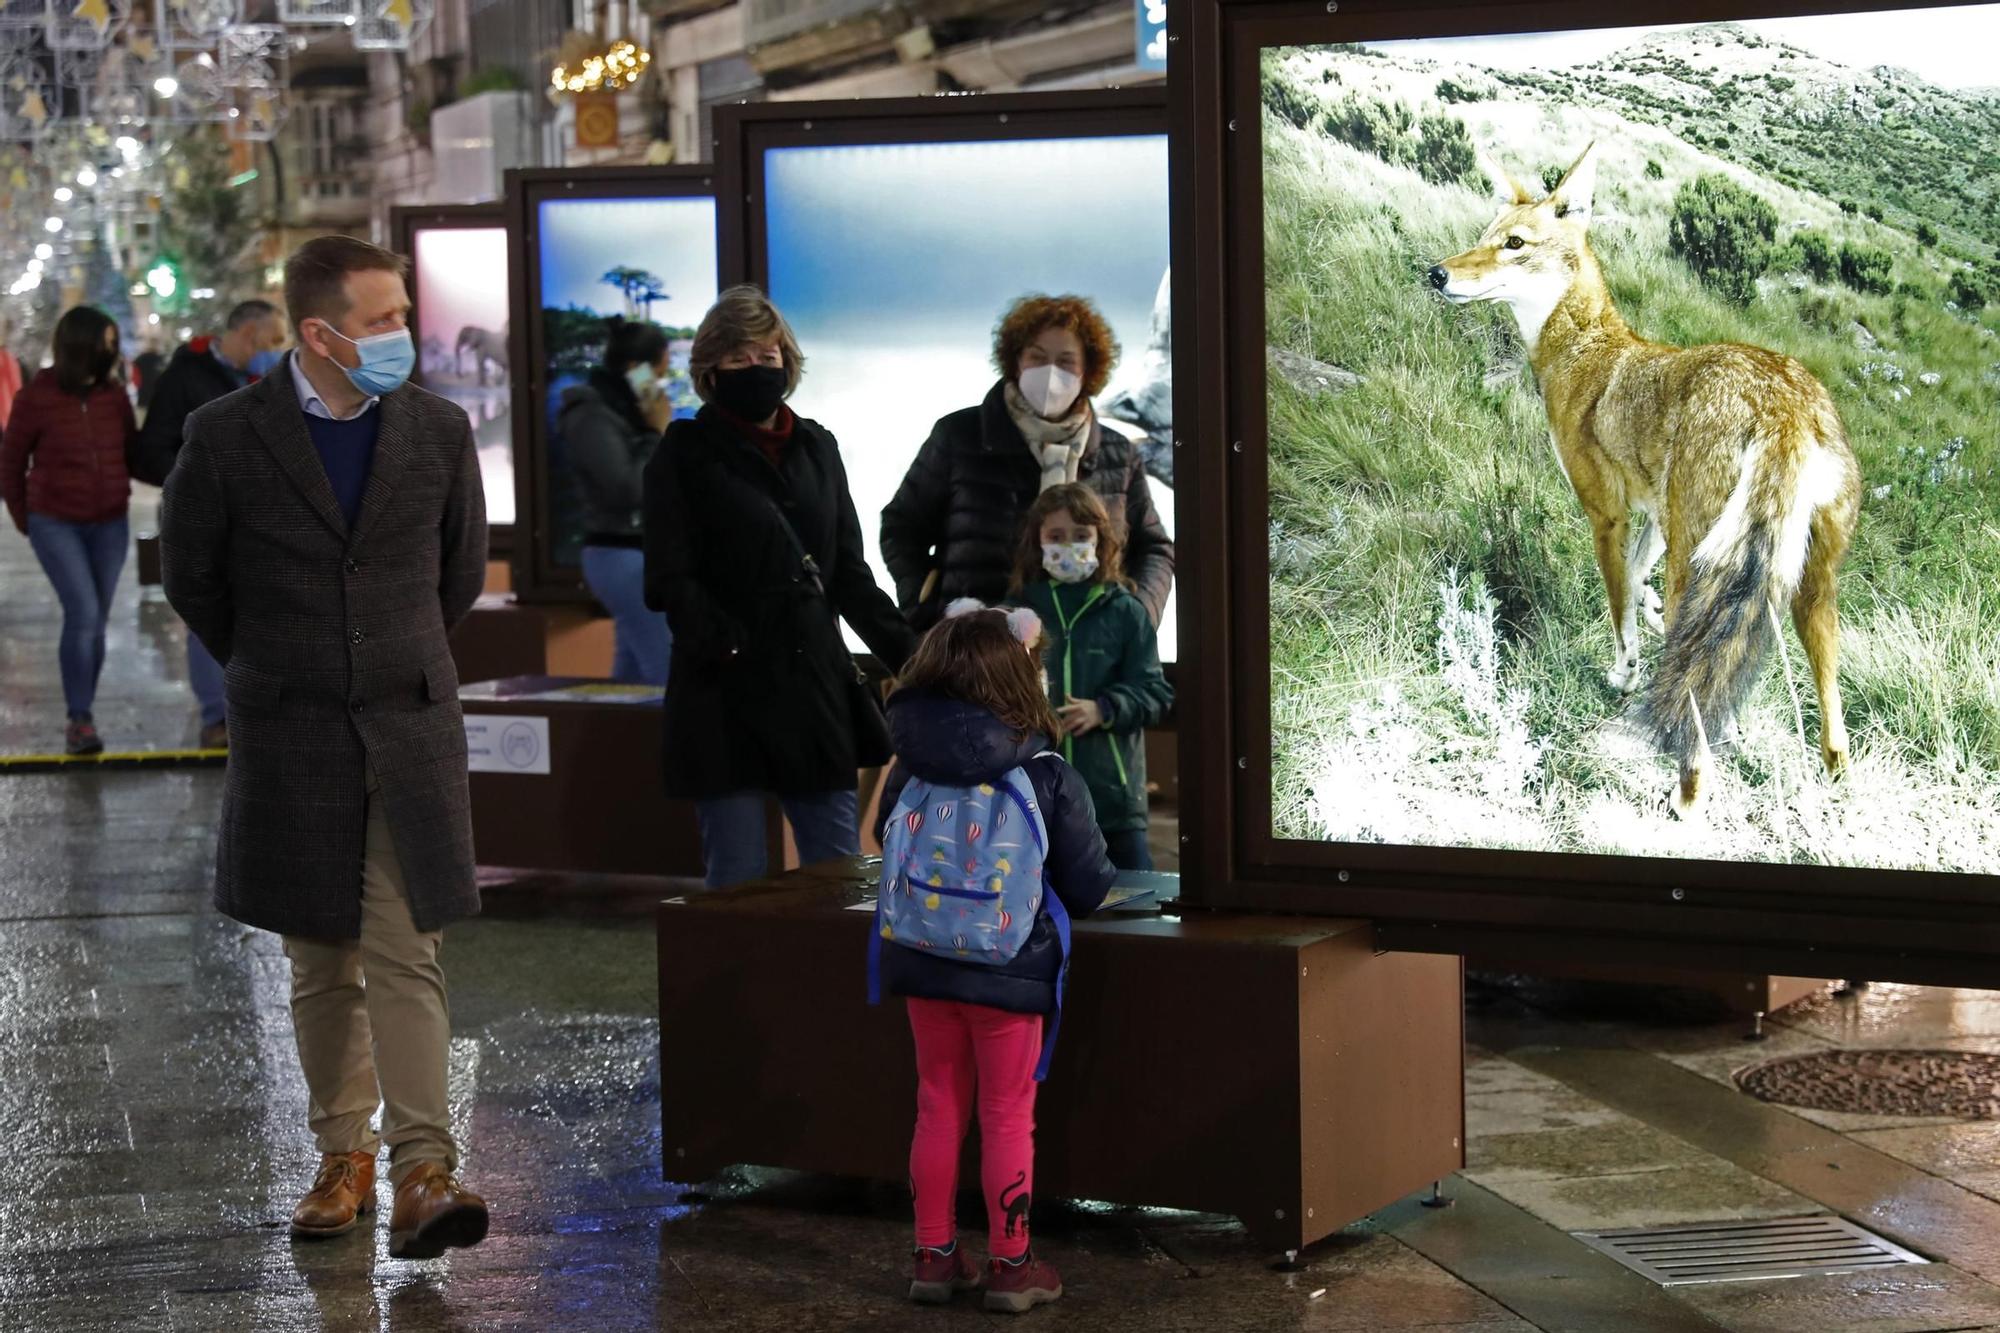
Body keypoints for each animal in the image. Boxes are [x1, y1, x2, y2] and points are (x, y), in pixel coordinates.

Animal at [1432, 143, 1864, 808]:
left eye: (1514, 244)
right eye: (1483, 238)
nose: (1437, 274)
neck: (1584, 350)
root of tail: (1783, 405)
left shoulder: (1606, 515)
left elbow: (1617, 606)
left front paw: (1624, 672)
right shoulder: (1654, 515)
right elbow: (1637, 584)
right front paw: (1654, 622)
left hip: (1701, 563)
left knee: (1698, 719)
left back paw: (1683, 798)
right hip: (1809, 590)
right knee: (1830, 721)